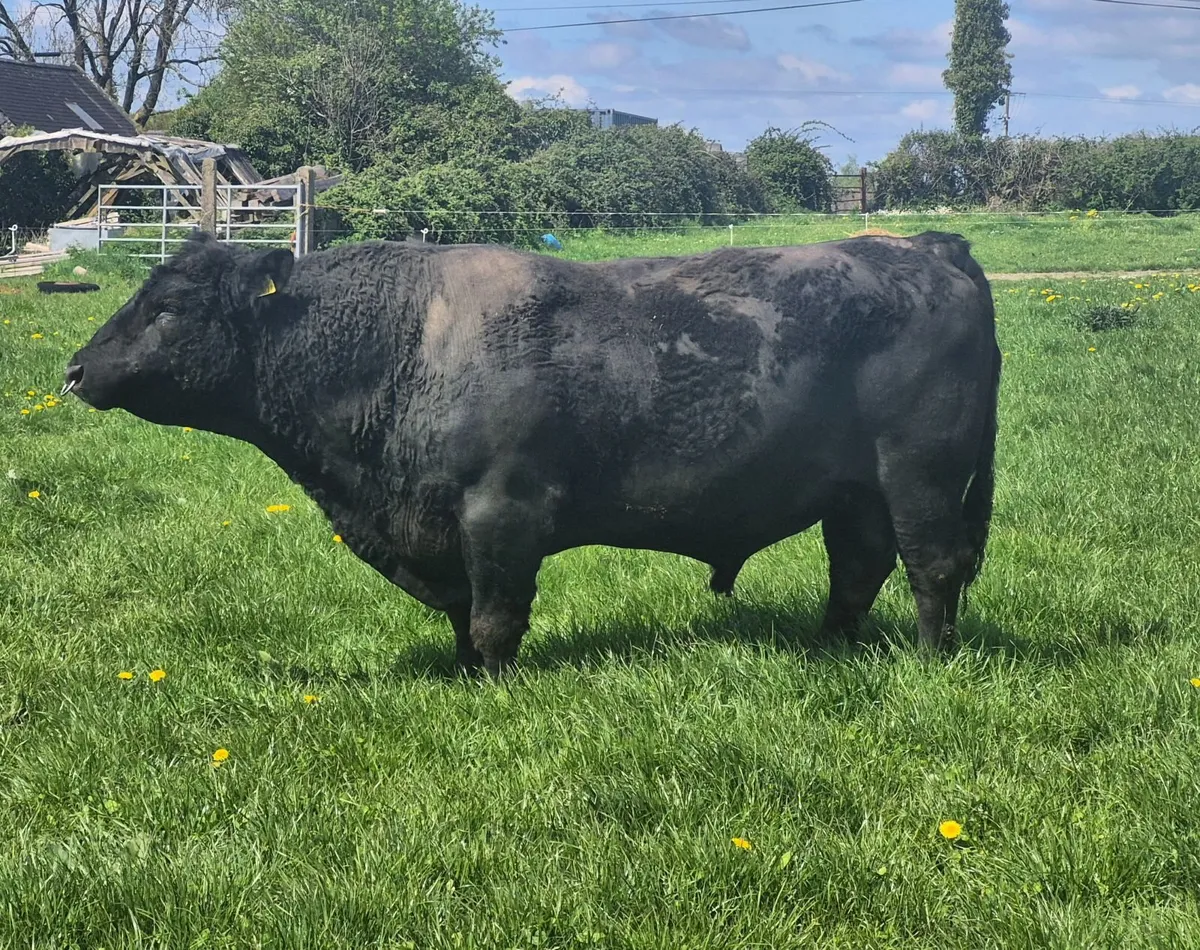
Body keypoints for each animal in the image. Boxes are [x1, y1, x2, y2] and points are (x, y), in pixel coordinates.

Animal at [64, 229, 1001, 676]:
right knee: (859, 567)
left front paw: (496, 686)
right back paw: (830, 648)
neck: (402, 341)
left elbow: (494, 615)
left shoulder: (500, 512)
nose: (74, 369)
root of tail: (925, 248)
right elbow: (459, 616)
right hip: (856, 490)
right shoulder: (442, 526)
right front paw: (462, 677)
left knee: (932, 566)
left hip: (918, 475)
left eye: (169, 306)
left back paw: (929, 662)